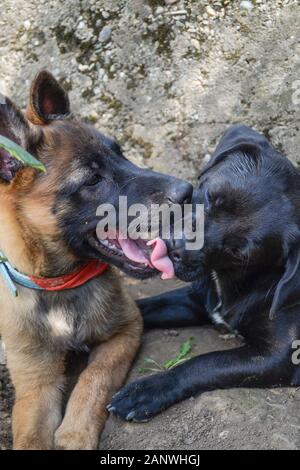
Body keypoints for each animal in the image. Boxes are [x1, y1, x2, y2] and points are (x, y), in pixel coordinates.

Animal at [0, 71, 192, 450]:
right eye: (92, 179)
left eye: (121, 154)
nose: (187, 192)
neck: (60, 284)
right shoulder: (34, 384)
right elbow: (31, 434)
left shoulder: (126, 329)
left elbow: (95, 378)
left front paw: (75, 432)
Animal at [109, 125, 300, 422]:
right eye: (211, 197)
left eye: (238, 251)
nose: (177, 248)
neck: (233, 281)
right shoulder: (196, 299)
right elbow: (141, 308)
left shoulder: (277, 354)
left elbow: (206, 363)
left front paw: (149, 390)